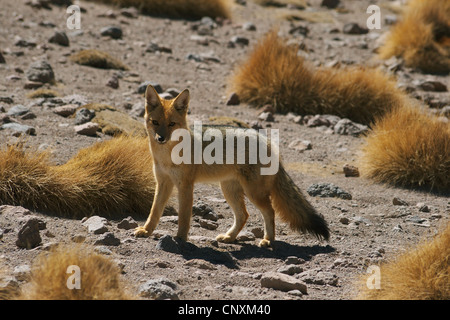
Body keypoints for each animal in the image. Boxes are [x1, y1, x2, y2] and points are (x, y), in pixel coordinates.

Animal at [134, 85, 330, 248]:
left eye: (172, 124)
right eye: (155, 122)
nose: (161, 138)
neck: (167, 156)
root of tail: (268, 142)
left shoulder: (185, 186)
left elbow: (183, 216)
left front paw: (181, 238)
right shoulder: (163, 182)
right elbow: (154, 210)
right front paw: (146, 230)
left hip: (253, 192)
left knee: (269, 211)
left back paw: (268, 239)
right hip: (229, 189)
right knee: (244, 215)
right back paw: (230, 237)